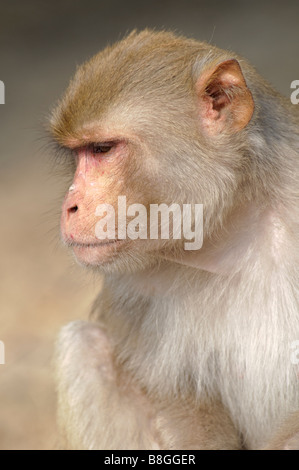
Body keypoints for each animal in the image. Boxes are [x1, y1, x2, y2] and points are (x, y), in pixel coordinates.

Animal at [49, 30, 299, 452]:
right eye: (78, 155)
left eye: (102, 149)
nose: (70, 206)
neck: (236, 226)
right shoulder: (135, 285)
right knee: (82, 347)